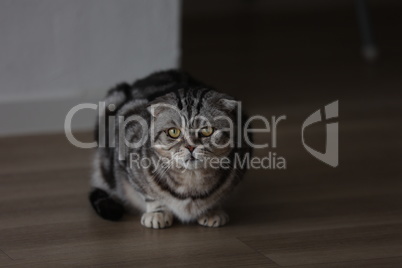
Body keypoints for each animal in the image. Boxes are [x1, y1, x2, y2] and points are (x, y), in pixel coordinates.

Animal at [90, 69, 251, 228]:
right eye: (174, 132)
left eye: (207, 131)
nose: (190, 146)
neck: (191, 182)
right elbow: (149, 194)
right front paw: (158, 212)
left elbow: (219, 197)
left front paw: (212, 211)